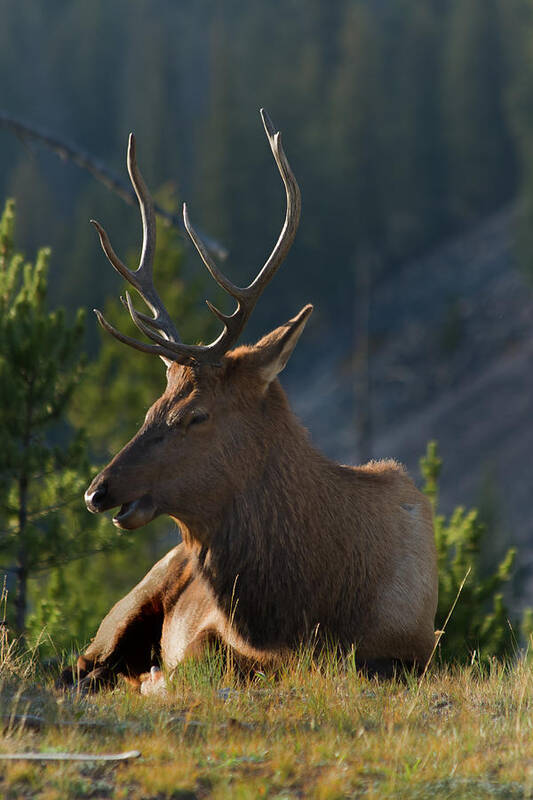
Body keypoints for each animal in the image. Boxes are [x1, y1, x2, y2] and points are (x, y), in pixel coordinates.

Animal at [70, 112, 436, 692]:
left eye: (194, 415)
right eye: (152, 409)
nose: (96, 492)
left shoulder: (413, 649)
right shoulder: (213, 632)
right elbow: (205, 660)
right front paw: (155, 678)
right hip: (134, 599)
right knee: (80, 665)